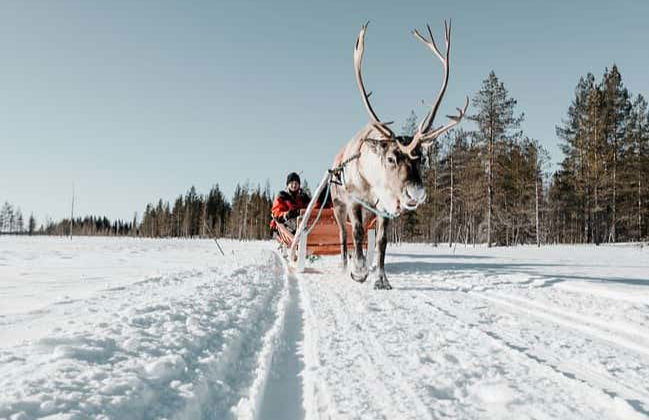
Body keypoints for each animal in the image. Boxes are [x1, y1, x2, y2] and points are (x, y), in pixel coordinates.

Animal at [330, 21, 469, 289]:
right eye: (391, 158)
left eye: (422, 159)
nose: (417, 193)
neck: (372, 181)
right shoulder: (353, 200)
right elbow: (357, 233)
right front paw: (359, 271)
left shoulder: (384, 207)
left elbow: (382, 241)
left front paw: (381, 278)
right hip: (337, 204)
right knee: (343, 234)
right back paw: (344, 267)